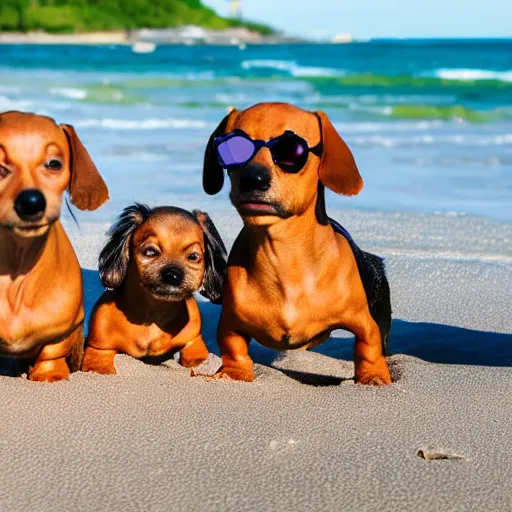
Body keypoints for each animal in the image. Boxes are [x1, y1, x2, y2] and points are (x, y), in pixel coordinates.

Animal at [83, 202, 227, 374]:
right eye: (151, 251)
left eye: (193, 256)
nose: (173, 274)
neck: (152, 314)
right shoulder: (99, 347)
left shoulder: (194, 338)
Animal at [203, 102, 392, 386]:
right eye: (232, 147)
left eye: (292, 150)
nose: (254, 178)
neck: (283, 256)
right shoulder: (229, 323)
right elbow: (233, 347)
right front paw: (234, 373)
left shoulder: (363, 322)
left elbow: (368, 346)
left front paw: (374, 377)